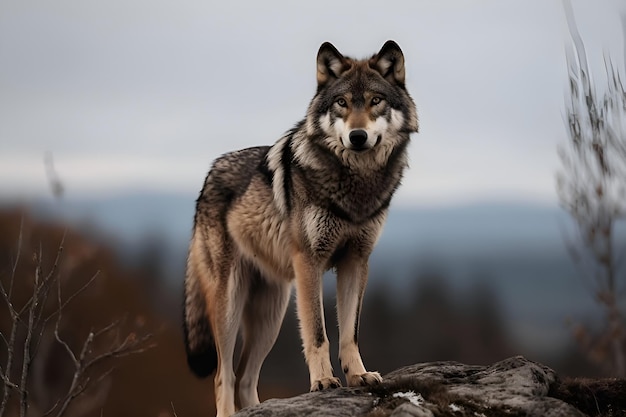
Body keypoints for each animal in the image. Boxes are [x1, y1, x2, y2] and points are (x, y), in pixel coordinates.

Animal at [182, 39, 414, 416]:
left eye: (375, 101)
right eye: (341, 102)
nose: (358, 136)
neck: (356, 185)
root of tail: (209, 173)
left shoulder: (356, 261)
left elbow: (350, 332)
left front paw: (359, 375)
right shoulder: (310, 262)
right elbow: (318, 334)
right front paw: (322, 382)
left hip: (271, 315)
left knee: (246, 377)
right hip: (230, 305)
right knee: (223, 375)